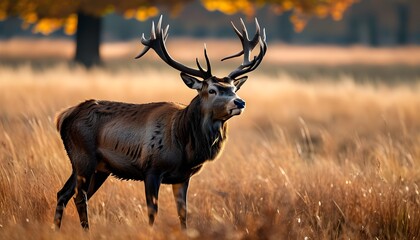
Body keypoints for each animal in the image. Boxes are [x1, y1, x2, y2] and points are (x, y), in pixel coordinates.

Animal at [53, 15, 266, 230]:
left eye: (233, 89)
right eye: (212, 90)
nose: (240, 102)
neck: (184, 143)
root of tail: (63, 116)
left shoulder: (183, 177)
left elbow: (183, 213)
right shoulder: (152, 168)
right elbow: (152, 212)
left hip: (97, 167)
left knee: (64, 193)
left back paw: (57, 228)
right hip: (83, 156)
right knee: (79, 197)